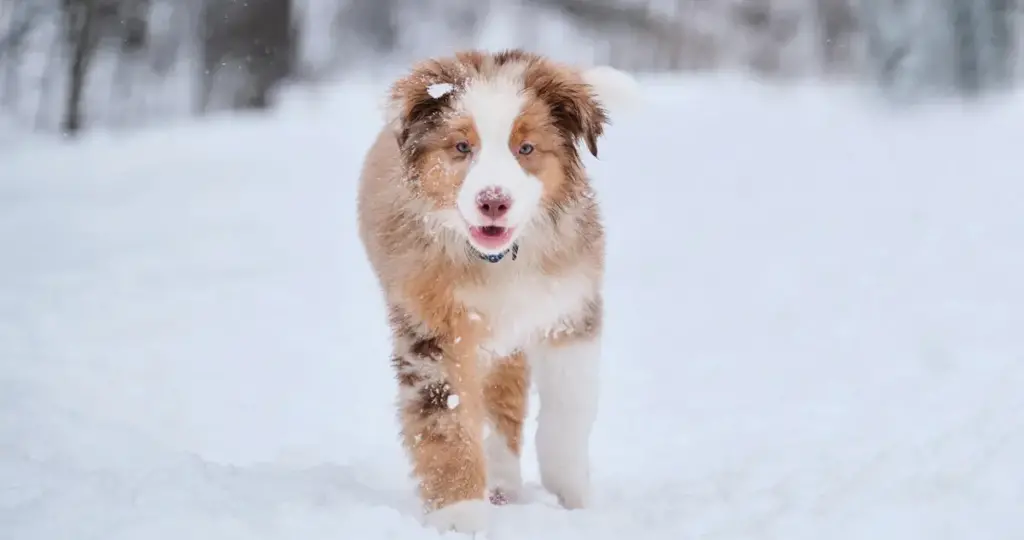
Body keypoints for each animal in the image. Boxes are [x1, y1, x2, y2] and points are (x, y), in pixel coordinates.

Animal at [356, 48, 634, 532]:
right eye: (461, 147)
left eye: (526, 148)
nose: (493, 202)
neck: (501, 262)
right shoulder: (433, 330)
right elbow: (447, 421)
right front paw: (459, 515)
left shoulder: (570, 309)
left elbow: (568, 411)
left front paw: (575, 497)